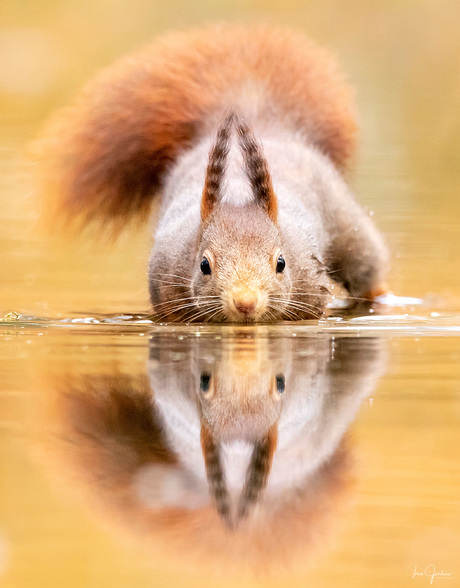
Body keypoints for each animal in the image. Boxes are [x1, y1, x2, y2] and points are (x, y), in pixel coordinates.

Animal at [35, 23, 388, 322]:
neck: (237, 191)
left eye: (281, 263)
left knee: (367, 270)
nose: (245, 302)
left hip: (347, 227)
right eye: (204, 265)